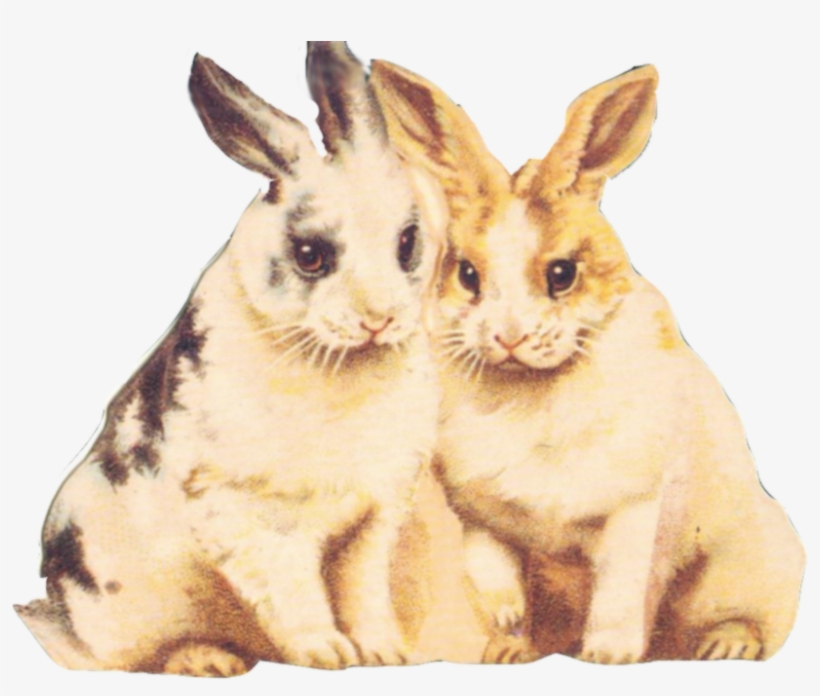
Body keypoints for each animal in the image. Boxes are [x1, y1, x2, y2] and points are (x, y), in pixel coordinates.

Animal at [15, 42, 446, 674]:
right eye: (310, 254)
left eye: (407, 242)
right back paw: (204, 661)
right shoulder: (256, 521)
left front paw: (385, 653)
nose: (378, 320)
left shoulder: (373, 519)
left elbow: (363, 590)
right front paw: (327, 654)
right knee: (103, 656)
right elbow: (296, 594)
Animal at [370, 60, 805, 664]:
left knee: (750, 621)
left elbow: (620, 588)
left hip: (749, 565)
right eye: (467, 274)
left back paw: (724, 646)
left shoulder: (634, 509)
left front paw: (608, 655)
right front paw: (507, 640)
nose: (508, 337)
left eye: (562, 274)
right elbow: (492, 572)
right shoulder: (482, 519)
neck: (529, 390)